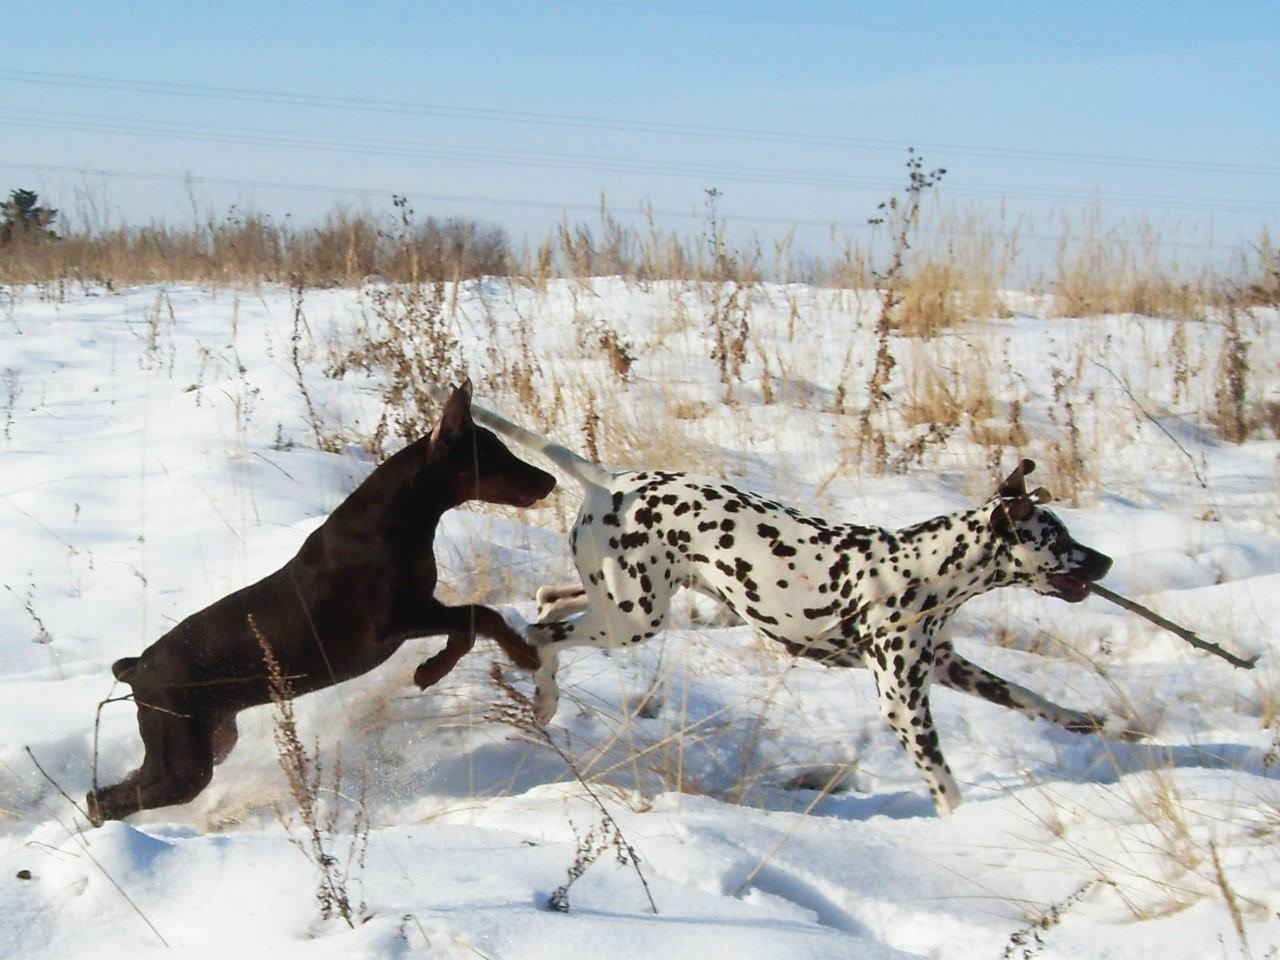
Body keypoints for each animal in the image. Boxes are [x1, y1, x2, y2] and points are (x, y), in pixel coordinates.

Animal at [83, 384, 555, 829]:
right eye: (495, 456)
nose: (550, 481)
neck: (399, 517)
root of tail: (136, 669)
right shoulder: (393, 621)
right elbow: (481, 615)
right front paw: (524, 656)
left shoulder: (420, 609)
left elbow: (468, 628)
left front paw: (432, 669)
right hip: (184, 759)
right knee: (106, 799)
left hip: (212, 739)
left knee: (118, 788)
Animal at [468, 401, 1121, 814]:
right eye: (1058, 539)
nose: (1106, 561)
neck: (925, 566)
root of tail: (610, 480)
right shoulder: (903, 702)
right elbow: (943, 782)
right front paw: (960, 824)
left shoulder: (944, 664)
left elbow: (1029, 698)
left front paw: (1084, 720)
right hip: (633, 620)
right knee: (544, 635)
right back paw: (545, 701)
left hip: (625, 603)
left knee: (547, 604)